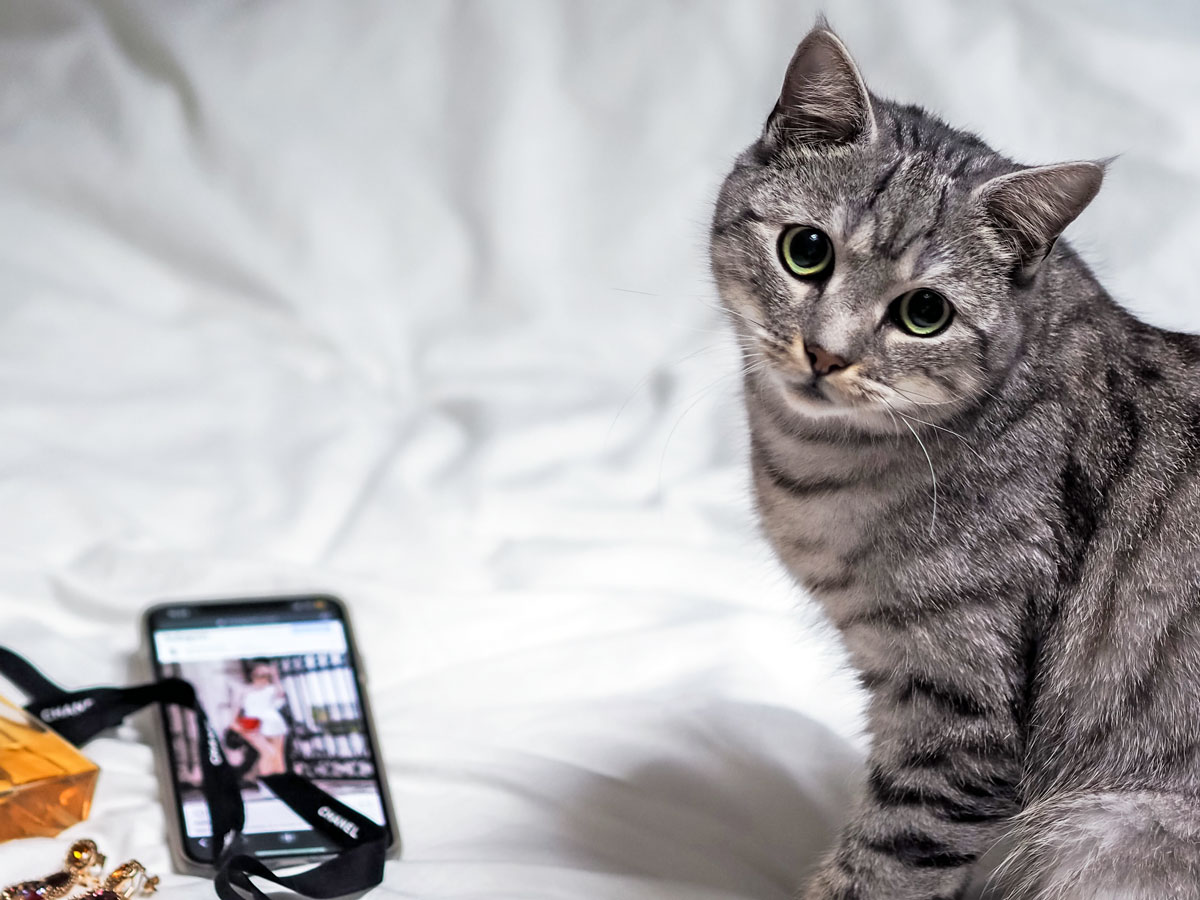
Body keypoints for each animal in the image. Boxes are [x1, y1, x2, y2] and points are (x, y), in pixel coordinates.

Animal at [710, 15, 1200, 900]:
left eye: (924, 313)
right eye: (806, 250)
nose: (825, 354)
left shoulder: (956, 717)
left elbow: (882, 863)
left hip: (1108, 828)